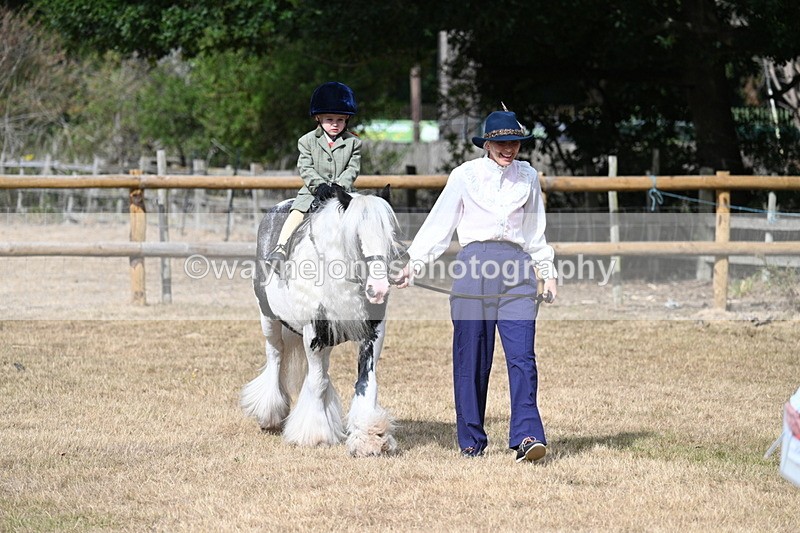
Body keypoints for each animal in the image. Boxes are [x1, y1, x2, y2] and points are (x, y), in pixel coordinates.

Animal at [240, 185, 406, 456]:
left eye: (389, 233)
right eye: (356, 235)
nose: (379, 289)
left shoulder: (372, 334)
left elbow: (366, 382)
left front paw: (371, 436)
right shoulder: (313, 333)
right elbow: (317, 382)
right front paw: (315, 435)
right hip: (270, 320)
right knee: (275, 357)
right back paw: (270, 415)